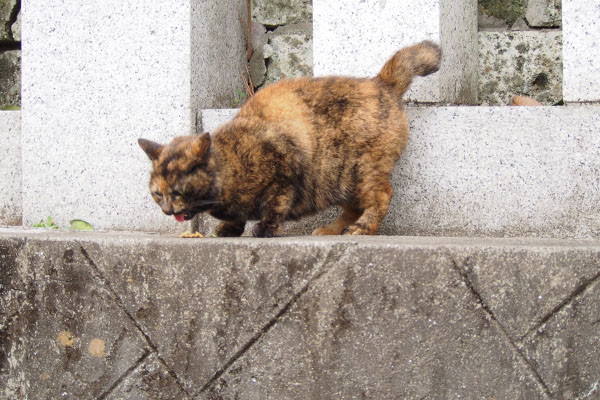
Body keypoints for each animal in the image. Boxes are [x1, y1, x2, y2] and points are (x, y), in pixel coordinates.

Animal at [139, 39, 440, 238]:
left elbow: (275, 205)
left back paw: (361, 228)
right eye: (157, 194)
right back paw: (331, 229)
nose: (167, 210)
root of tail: (379, 82)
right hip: (338, 179)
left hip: (360, 171)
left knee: (381, 197)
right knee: (353, 207)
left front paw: (264, 229)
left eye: (178, 192)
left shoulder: (284, 169)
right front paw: (230, 228)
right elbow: (237, 217)